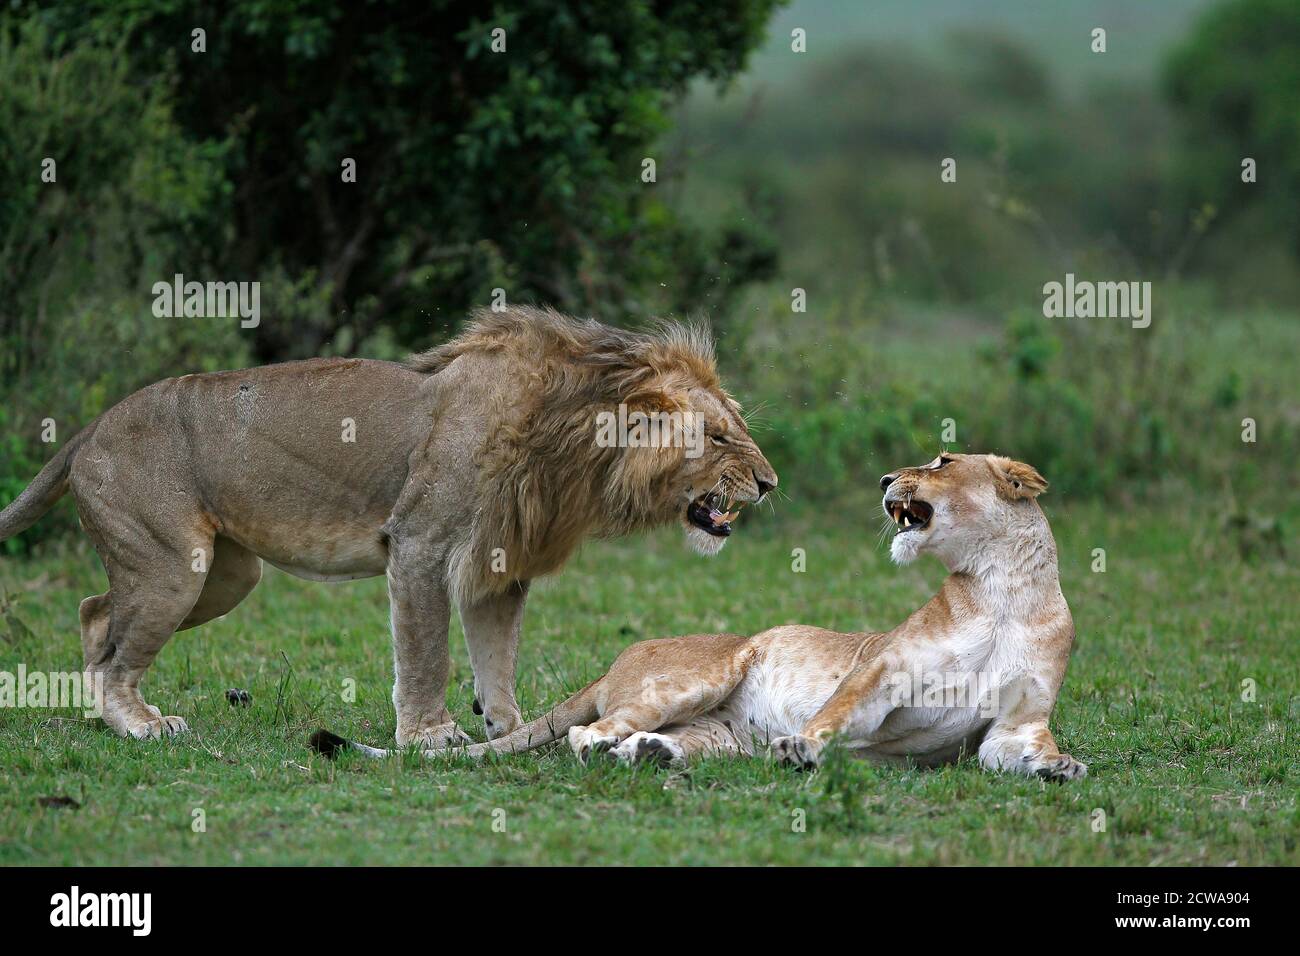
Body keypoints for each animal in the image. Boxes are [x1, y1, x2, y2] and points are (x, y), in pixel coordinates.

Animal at [0, 306, 777, 744]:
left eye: (738, 428)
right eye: (716, 437)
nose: (770, 483)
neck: (576, 443)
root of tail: (89, 428)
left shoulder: (499, 564)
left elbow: (496, 656)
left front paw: (510, 729)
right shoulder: (421, 545)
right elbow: (428, 651)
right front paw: (429, 734)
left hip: (224, 575)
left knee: (95, 610)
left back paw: (105, 715)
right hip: (172, 567)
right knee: (113, 648)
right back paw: (141, 725)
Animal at [311, 453, 1085, 781]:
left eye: (944, 459)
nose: (887, 478)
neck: (1004, 592)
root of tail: (614, 664)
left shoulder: (1014, 721)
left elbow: (1016, 748)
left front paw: (1061, 767)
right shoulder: (881, 671)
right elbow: (834, 716)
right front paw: (802, 747)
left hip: (718, 734)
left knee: (651, 741)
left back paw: (654, 756)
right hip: (704, 673)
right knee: (586, 733)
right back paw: (613, 753)